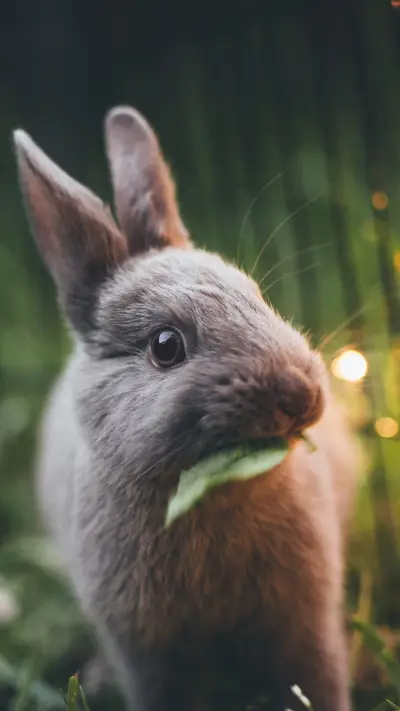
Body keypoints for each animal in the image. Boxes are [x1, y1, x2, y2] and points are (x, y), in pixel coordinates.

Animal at [13, 105, 360, 711]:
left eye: (257, 296)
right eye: (165, 346)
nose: (301, 396)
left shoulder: (308, 623)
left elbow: (318, 678)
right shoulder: (149, 652)